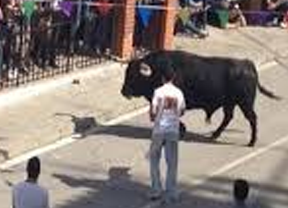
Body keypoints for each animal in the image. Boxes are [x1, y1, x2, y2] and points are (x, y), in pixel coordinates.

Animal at [120, 50, 280, 146]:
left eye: (133, 75)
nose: (123, 91)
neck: (159, 71)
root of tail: (247, 64)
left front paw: (181, 130)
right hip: (230, 103)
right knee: (228, 117)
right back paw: (214, 135)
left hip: (245, 103)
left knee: (252, 118)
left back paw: (251, 142)